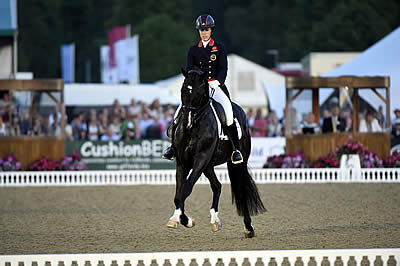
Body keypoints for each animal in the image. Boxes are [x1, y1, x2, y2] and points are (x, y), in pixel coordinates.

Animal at [167, 68, 268, 237]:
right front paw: (182, 220)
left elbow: (186, 188)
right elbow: (178, 195)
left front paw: (181, 220)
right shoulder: (183, 162)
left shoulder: (201, 159)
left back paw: (248, 227)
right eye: (183, 90)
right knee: (217, 186)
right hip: (208, 165)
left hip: (236, 162)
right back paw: (215, 221)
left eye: (199, 92)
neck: (194, 127)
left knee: (240, 189)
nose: (187, 122)